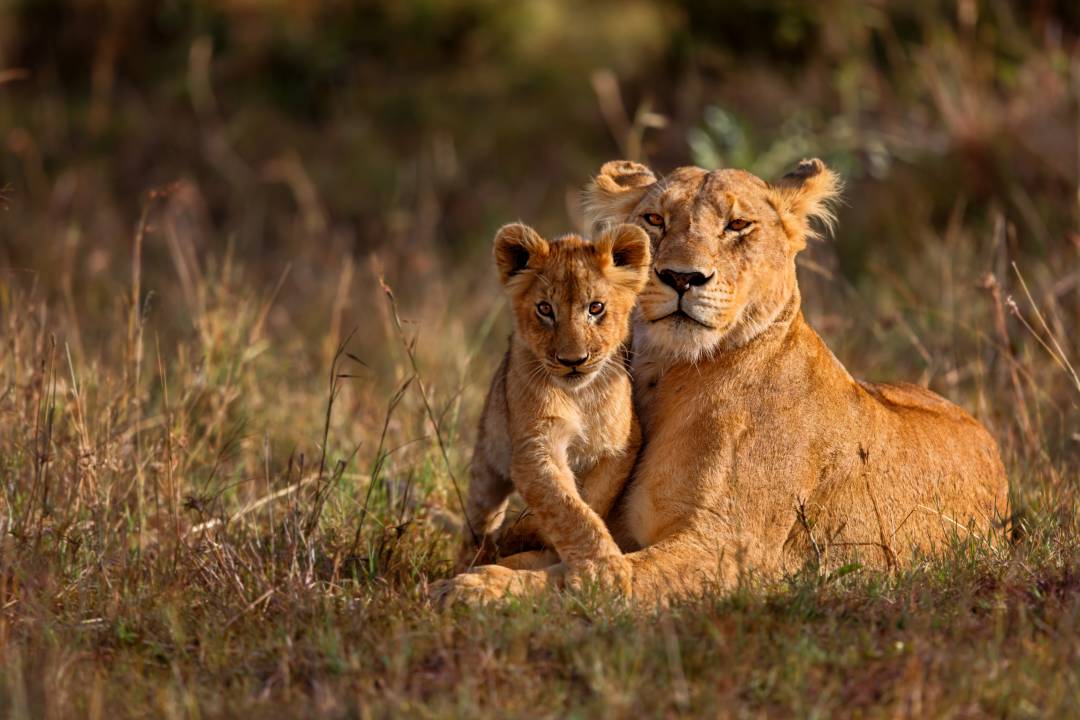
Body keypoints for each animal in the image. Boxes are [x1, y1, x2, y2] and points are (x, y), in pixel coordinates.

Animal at [449, 221, 651, 582]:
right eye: (545, 309)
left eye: (595, 308)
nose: (573, 361)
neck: (579, 395)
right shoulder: (535, 447)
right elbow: (566, 507)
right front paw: (604, 569)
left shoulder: (621, 445)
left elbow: (591, 500)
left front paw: (531, 534)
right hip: (488, 460)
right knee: (479, 519)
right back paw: (471, 558)